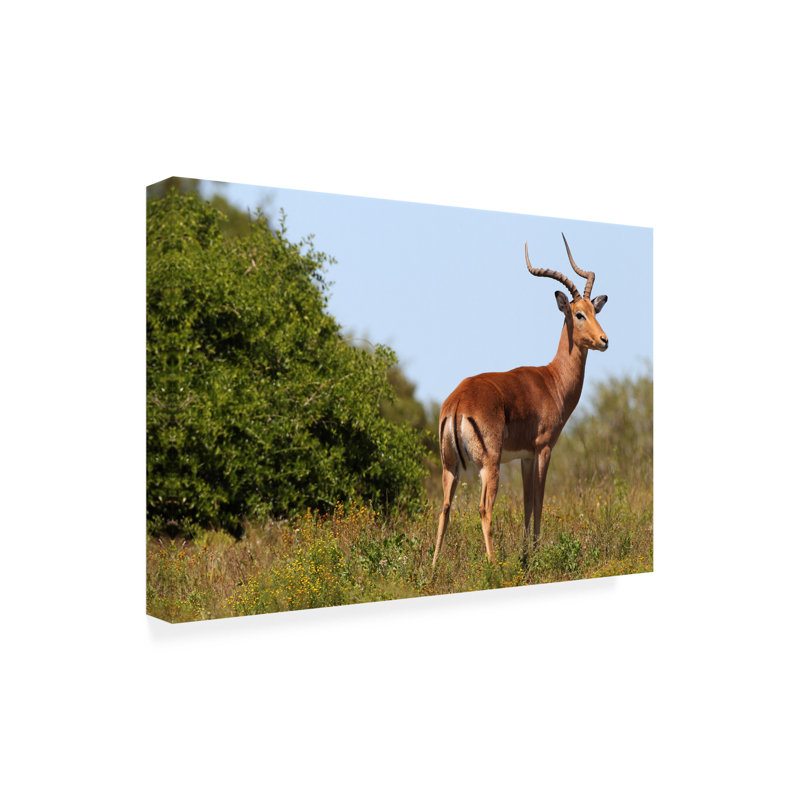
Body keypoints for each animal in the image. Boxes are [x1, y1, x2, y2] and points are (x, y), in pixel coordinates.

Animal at [432, 235, 609, 569]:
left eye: (595, 312)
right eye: (577, 314)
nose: (605, 340)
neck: (552, 380)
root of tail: (458, 402)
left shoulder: (525, 456)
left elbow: (527, 503)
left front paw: (527, 554)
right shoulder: (543, 449)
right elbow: (537, 502)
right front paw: (535, 556)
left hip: (450, 467)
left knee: (445, 508)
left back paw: (433, 569)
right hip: (489, 464)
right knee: (484, 509)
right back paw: (493, 566)